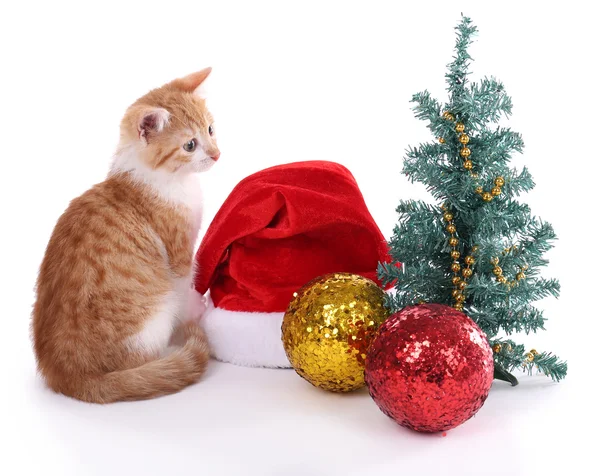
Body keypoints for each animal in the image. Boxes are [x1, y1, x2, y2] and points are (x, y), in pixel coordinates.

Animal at [31, 68, 219, 402]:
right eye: (189, 145)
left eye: (211, 129)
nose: (217, 154)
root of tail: (67, 375)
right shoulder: (179, 255)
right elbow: (185, 287)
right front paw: (194, 312)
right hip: (155, 314)